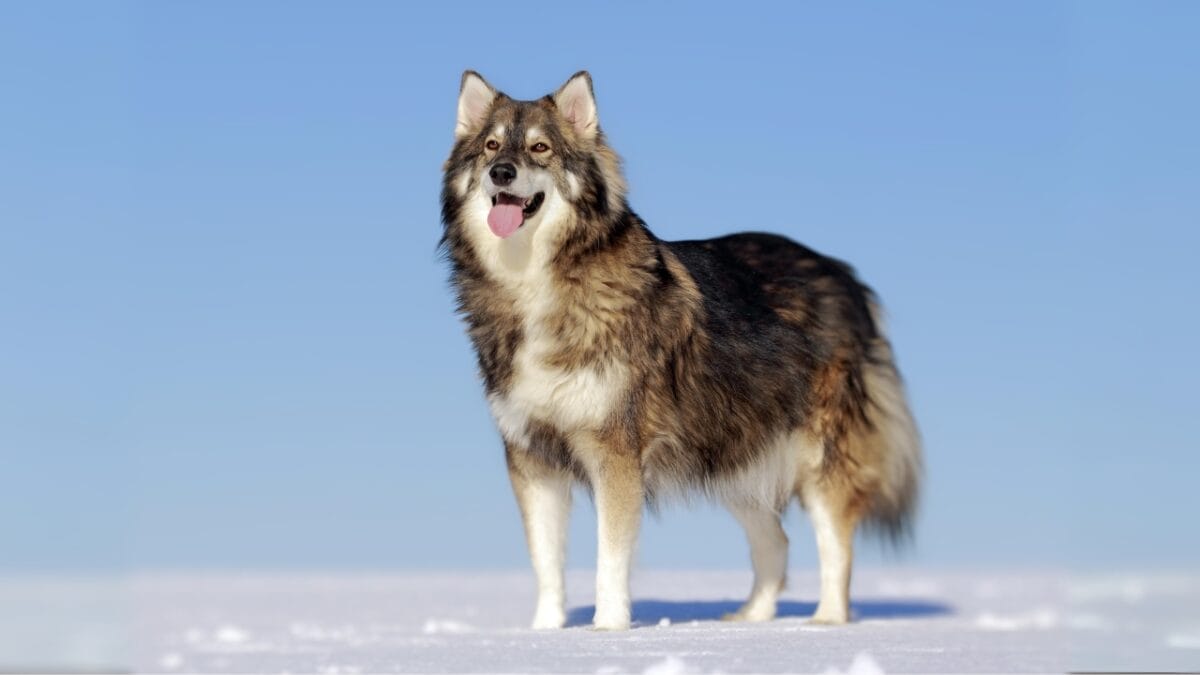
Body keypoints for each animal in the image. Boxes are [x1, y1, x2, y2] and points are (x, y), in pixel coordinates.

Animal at [440, 71, 921, 631]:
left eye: (540, 148)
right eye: (491, 146)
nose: (501, 172)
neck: (539, 281)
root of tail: (846, 276)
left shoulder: (615, 453)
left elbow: (610, 557)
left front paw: (607, 629)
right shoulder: (531, 458)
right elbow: (546, 562)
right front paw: (544, 633)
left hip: (819, 457)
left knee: (836, 544)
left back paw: (825, 622)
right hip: (738, 457)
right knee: (775, 542)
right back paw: (750, 619)